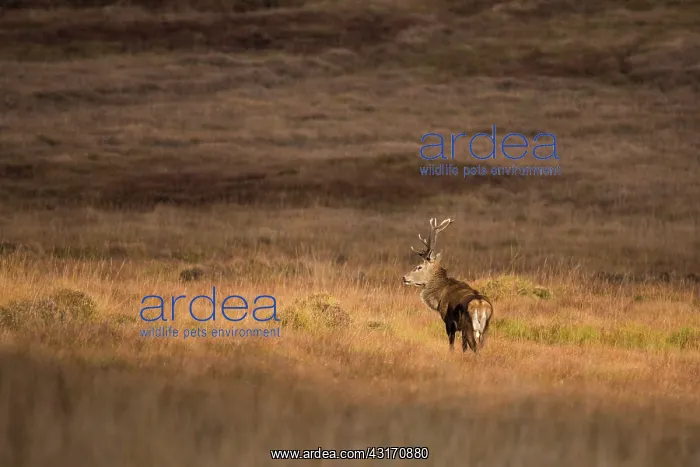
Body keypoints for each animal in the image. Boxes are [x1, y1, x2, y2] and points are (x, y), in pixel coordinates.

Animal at [402, 218, 494, 353]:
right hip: (486, 327)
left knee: (475, 347)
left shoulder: (448, 320)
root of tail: (480, 304)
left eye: (419, 267)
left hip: (469, 324)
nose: (404, 277)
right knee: (481, 346)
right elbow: (463, 347)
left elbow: (451, 344)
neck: (439, 296)